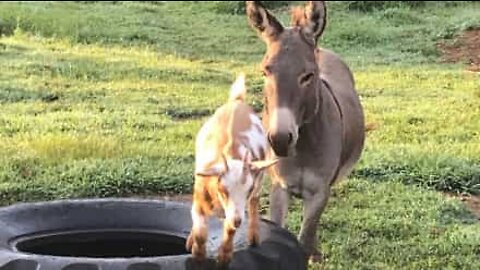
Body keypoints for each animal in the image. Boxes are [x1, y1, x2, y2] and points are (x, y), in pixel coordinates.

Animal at [187, 73, 278, 264]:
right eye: (223, 190)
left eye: (247, 190)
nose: (238, 221)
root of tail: (237, 101)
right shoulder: (199, 197)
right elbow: (200, 230)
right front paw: (197, 253)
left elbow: (229, 229)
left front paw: (224, 256)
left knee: (254, 204)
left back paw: (253, 237)